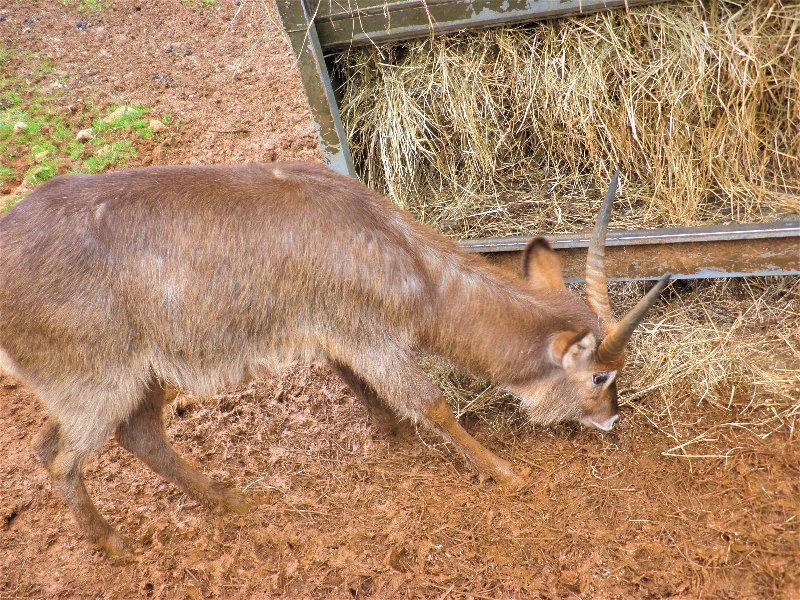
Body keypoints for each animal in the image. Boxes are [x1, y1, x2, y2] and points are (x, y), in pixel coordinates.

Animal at [0, 163, 668, 552]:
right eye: (602, 374)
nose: (612, 418)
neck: (406, 258)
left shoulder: (338, 333)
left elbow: (357, 382)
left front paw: (393, 434)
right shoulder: (372, 333)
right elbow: (433, 404)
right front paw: (505, 472)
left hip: (141, 375)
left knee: (121, 437)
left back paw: (229, 500)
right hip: (99, 381)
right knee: (60, 459)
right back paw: (114, 544)